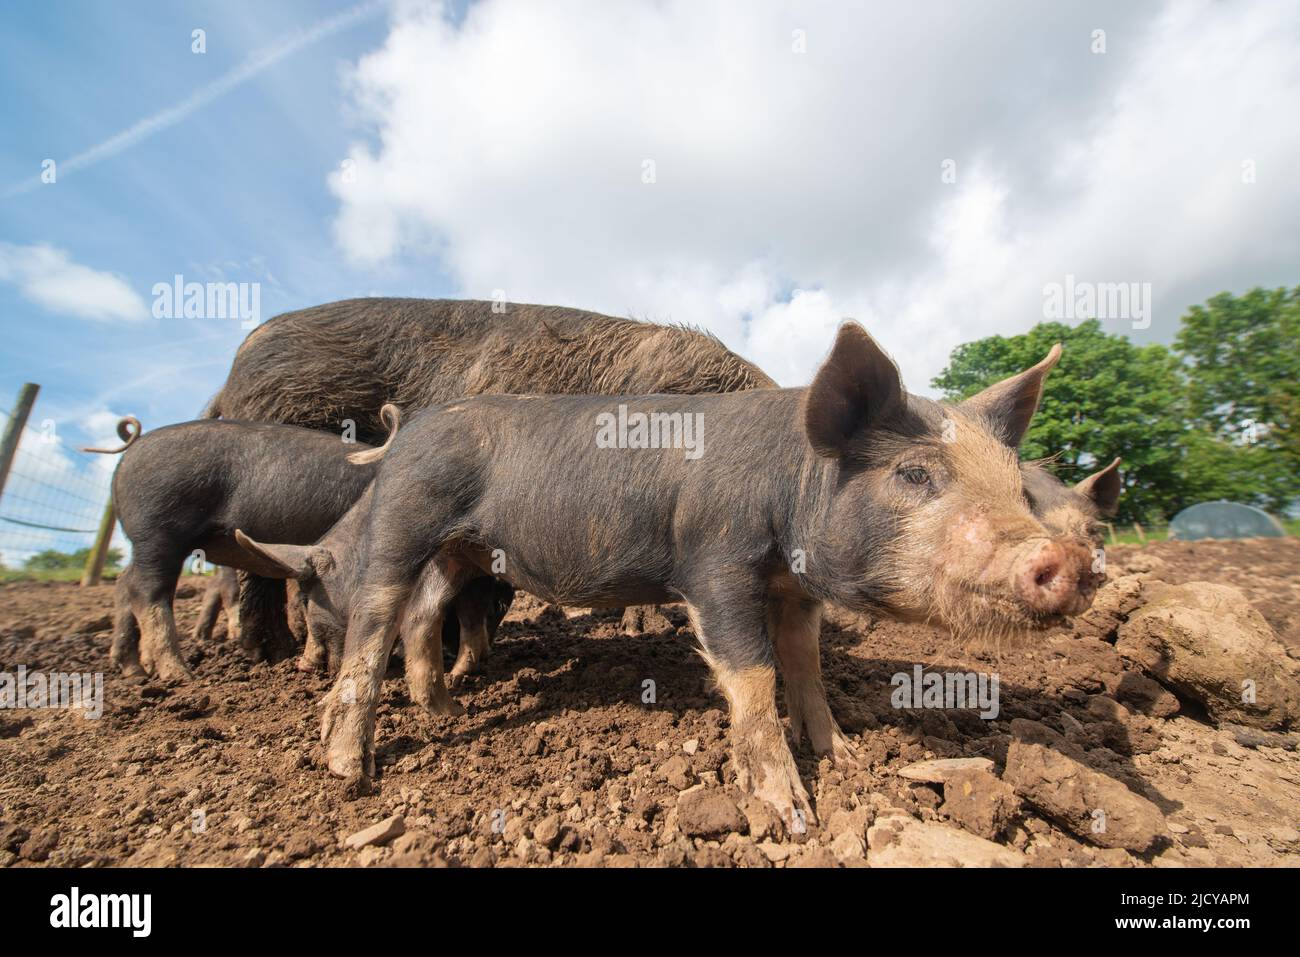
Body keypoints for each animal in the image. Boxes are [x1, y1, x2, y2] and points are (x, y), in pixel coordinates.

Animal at [314, 323, 1107, 821]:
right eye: (913, 473)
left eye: (1014, 482)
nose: (1073, 560)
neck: (790, 484)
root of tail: (405, 429)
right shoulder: (714, 561)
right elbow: (751, 673)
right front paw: (791, 813)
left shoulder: (796, 591)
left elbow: (807, 666)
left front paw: (846, 757)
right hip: (405, 520)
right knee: (374, 620)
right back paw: (350, 770)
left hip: (462, 550)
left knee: (422, 613)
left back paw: (445, 710)